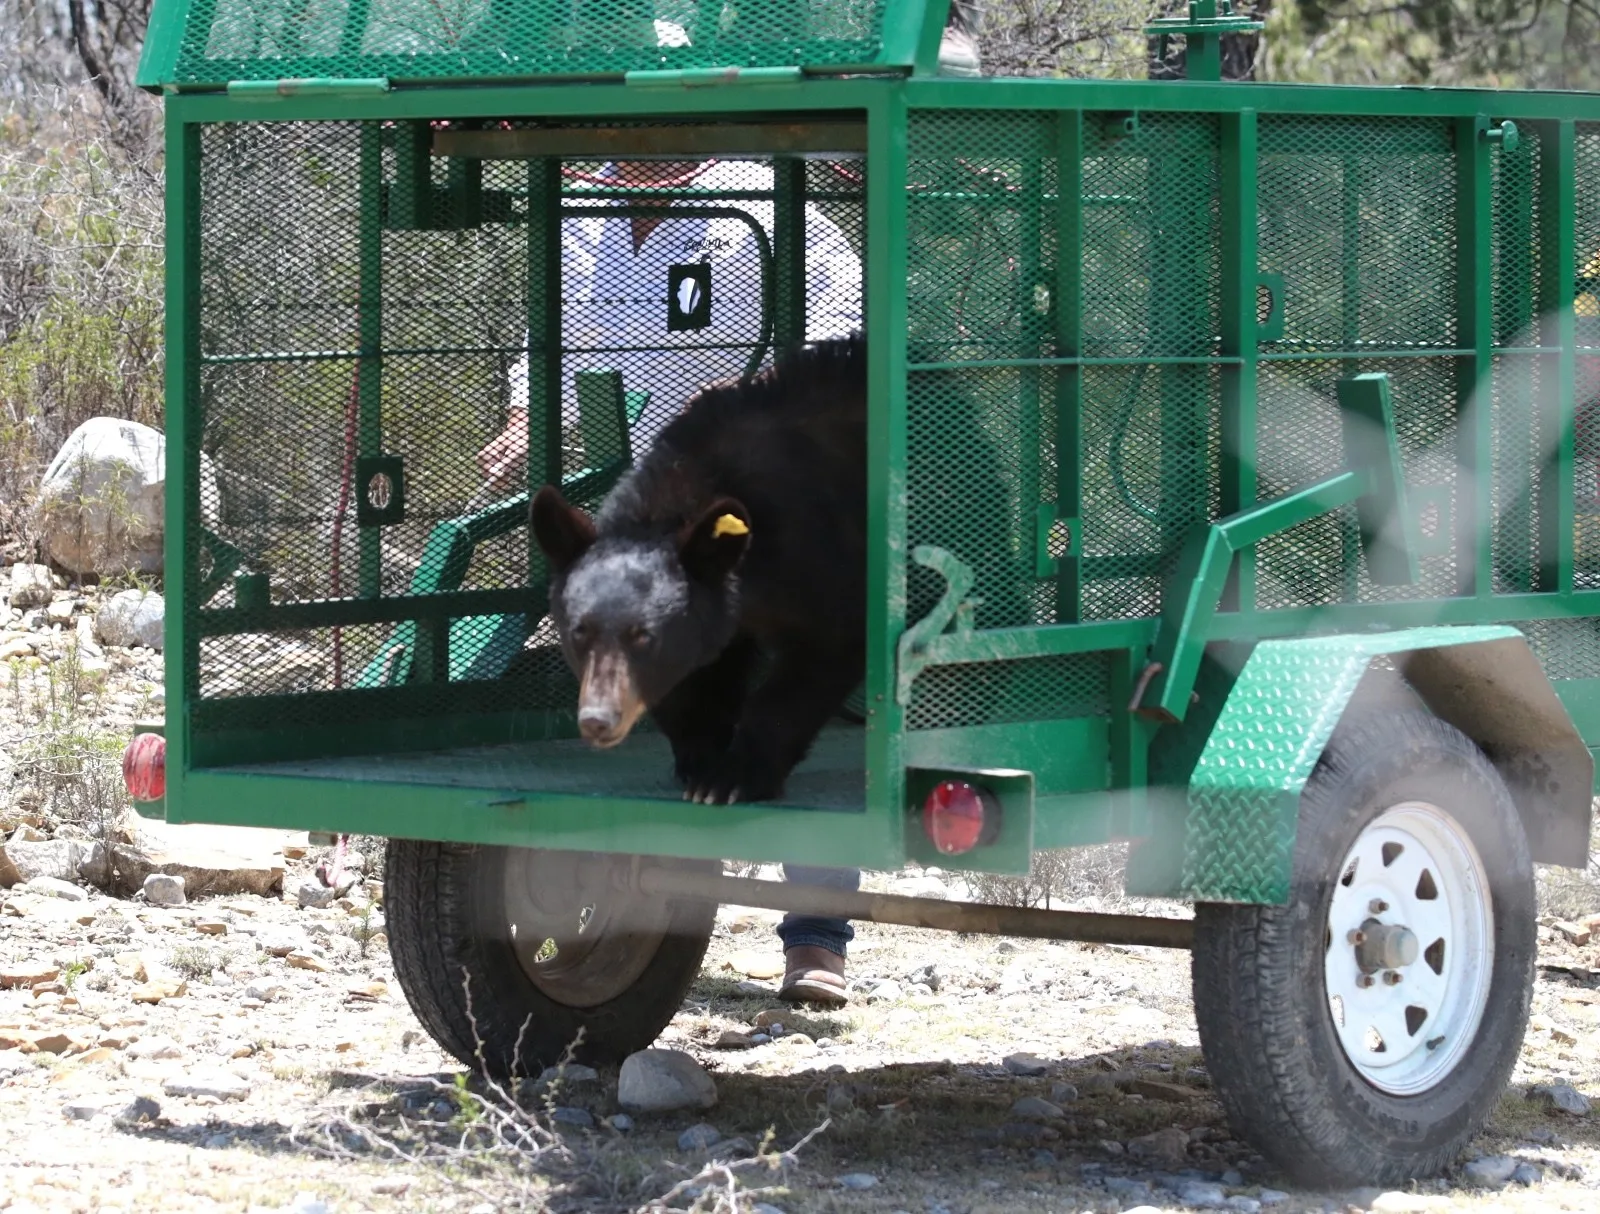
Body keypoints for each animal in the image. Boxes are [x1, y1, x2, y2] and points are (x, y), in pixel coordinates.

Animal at [530, 335, 868, 804]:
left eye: (643, 636)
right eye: (580, 632)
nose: (598, 719)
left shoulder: (817, 551)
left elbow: (827, 646)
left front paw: (733, 778)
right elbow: (700, 674)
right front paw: (700, 757)